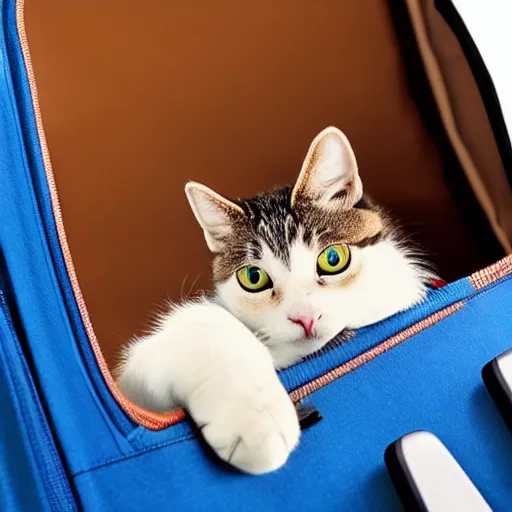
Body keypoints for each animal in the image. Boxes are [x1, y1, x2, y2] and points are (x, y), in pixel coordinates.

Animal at [117, 127, 432, 476]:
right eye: (253, 277)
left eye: (333, 259)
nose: (304, 317)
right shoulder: (136, 382)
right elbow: (204, 324)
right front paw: (255, 420)